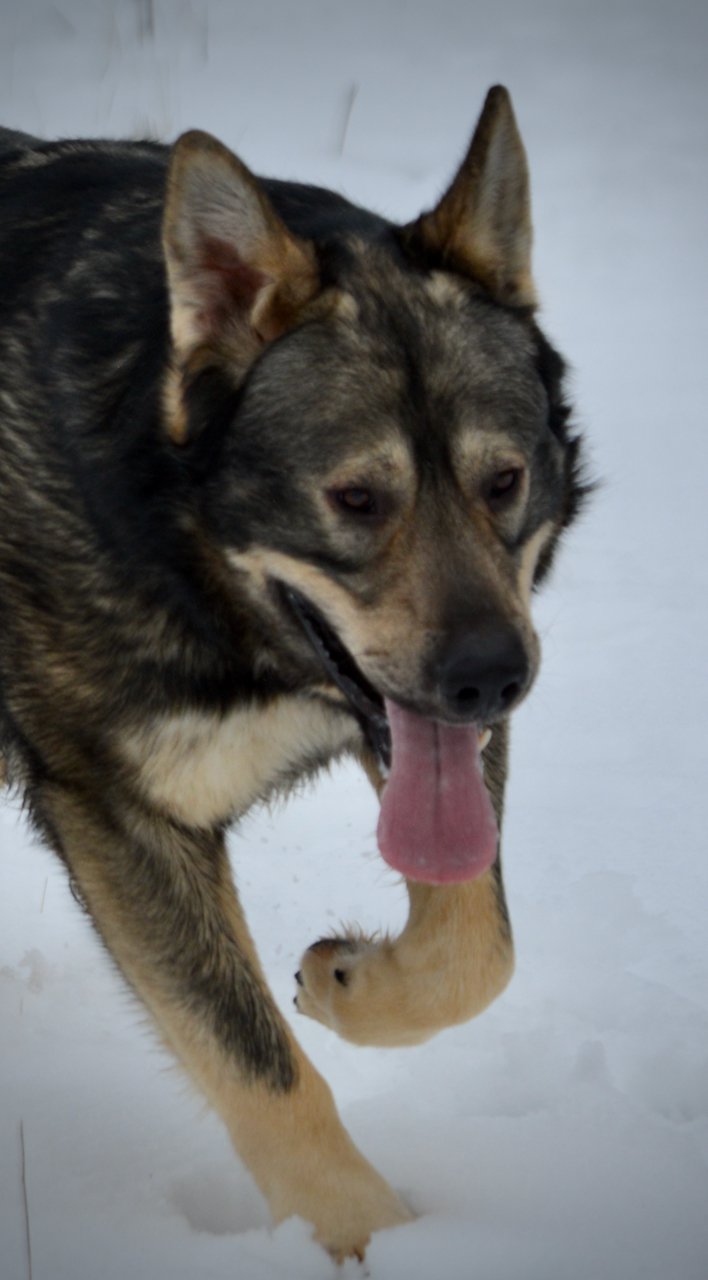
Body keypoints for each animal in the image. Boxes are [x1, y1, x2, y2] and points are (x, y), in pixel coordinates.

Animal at [0, 90, 586, 1259]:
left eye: (504, 480)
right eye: (355, 500)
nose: (493, 682)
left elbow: (477, 949)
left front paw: (350, 981)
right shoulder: (118, 812)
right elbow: (262, 1074)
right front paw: (367, 1240)